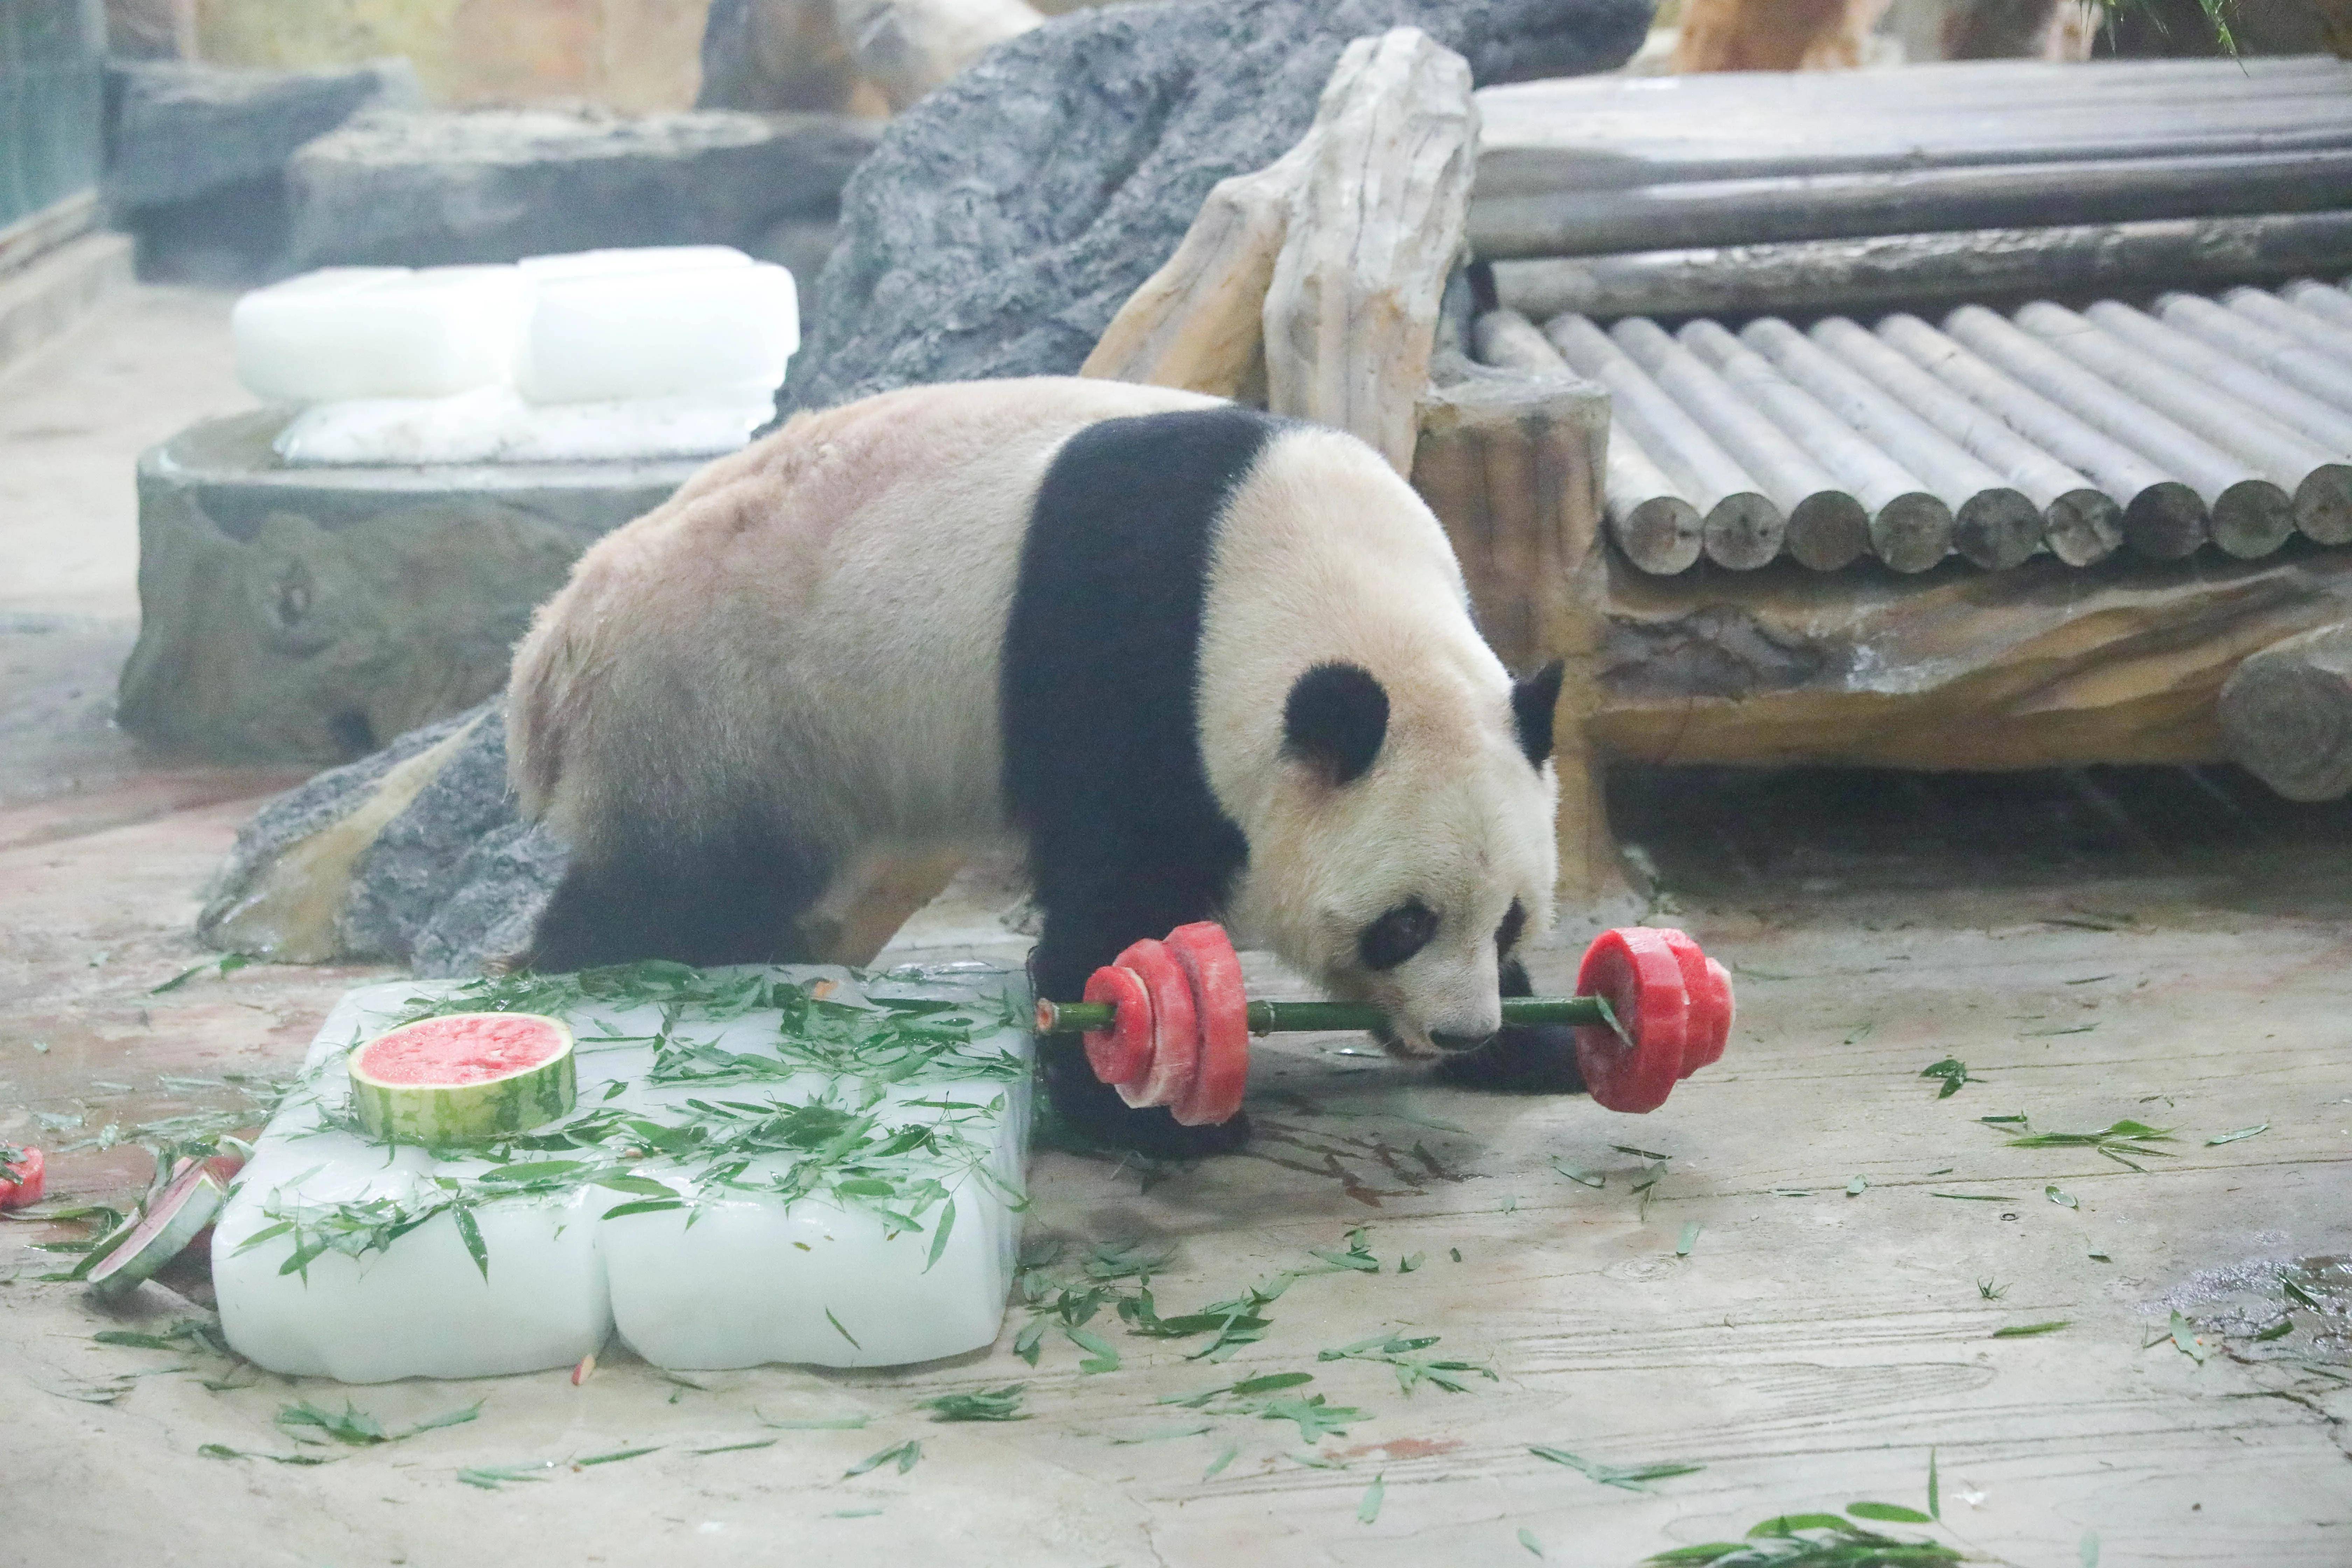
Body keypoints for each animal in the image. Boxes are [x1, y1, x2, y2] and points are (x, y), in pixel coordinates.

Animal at [515, 369, 1580, 1152]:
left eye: (1512, 918)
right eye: (1403, 924)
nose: (1461, 1030)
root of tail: (551, 648)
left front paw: (1544, 1046)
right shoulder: (1134, 671)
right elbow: (1117, 905)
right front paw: (1157, 1119)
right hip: (714, 712)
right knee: (682, 885)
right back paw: (590, 967)